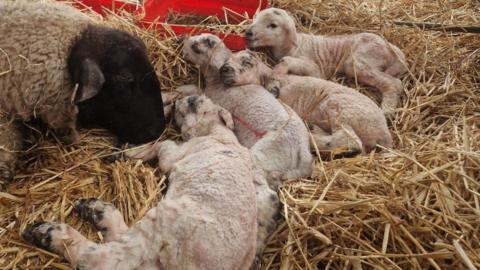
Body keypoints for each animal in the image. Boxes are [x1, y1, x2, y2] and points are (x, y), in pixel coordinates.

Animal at [23, 95, 260, 270]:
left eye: (195, 102)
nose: (179, 100)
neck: (218, 133)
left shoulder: (177, 154)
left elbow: (163, 145)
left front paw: (129, 152)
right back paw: (98, 211)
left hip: (164, 224)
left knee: (107, 258)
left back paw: (52, 232)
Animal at [221, 50, 394, 155]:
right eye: (227, 59)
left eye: (246, 63)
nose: (224, 68)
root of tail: (383, 133)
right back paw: (313, 129)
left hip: (340, 109)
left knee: (349, 140)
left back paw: (311, 138)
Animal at [246, 7, 406, 116]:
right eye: (256, 18)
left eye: (273, 25)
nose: (248, 32)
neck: (295, 46)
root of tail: (392, 49)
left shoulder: (316, 69)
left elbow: (286, 63)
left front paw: (274, 81)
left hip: (359, 61)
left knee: (395, 83)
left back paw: (387, 111)